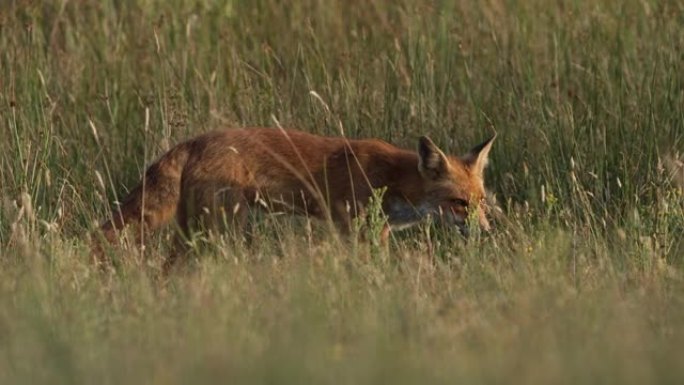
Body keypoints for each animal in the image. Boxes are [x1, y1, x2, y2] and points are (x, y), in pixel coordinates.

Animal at [96, 127, 494, 266]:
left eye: (481, 203)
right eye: (459, 203)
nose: (488, 233)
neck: (394, 179)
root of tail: (195, 140)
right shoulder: (356, 228)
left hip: (194, 231)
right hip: (220, 231)